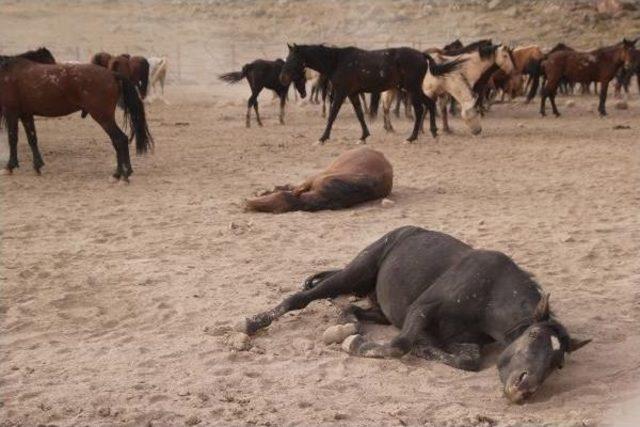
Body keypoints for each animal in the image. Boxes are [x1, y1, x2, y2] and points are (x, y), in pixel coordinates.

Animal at [1, 48, 152, 181]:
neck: (8, 73)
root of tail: (112, 74)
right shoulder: (25, 114)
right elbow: (32, 139)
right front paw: (37, 165)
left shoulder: (11, 112)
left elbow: (12, 138)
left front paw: (9, 166)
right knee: (118, 141)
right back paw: (121, 173)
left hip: (103, 118)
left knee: (120, 140)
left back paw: (121, 174)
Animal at [239, 227, 592, 404]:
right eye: (532, 336)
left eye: (558, 364)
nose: (524, 388)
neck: (490, 295)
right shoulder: (422, 309)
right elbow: (401, 344)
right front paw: (356, 345)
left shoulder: (464, 342)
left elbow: (464, 361)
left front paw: (424, 348)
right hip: (356, 270)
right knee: (302, 298)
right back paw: (253, 324)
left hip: (380, 309)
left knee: (351, 308)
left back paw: (345, 324)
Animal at [278, 44, 462, 144]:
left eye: (293, 59)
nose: (282, 77)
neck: (337, 61)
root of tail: (422, 55)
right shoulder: (352, 94)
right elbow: (360, 114)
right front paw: (363, 136)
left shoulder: (341, 93)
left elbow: (332, 114)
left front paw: (322, 138)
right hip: (413, 89)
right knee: (429, 104)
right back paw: (433, 132)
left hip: (412, 89)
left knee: (420, 109)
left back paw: (412, 137)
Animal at [384, 45, 516, 135]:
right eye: (505, 56)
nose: (478, 131)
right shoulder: (430, 92)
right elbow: (427, 109)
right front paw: (422, 130)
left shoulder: (442, 93)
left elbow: (442, 110)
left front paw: (446, 129)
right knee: (386, 107)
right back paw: (389, 127)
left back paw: (388, 127)